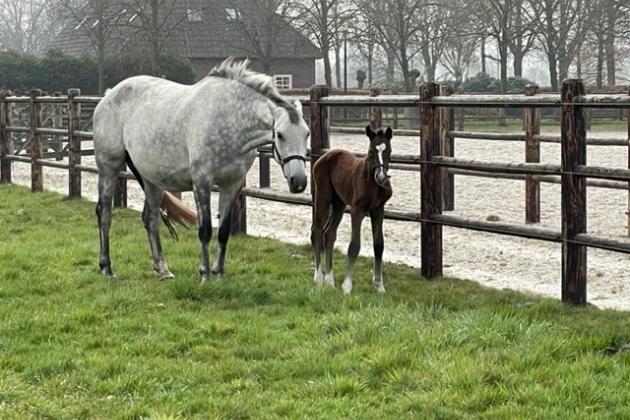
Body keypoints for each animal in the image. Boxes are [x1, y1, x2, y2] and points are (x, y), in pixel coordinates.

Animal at [94, 58, 312, 282]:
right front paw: (205, 274)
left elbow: (223, 230)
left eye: (307, 134)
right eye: (280, 135)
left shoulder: (232, 185)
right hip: (109, 167)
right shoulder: (202, 181)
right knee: (104, 212)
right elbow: (205, 229)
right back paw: (106, 268)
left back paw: (163, 270)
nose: (299, 181)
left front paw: (219, 273)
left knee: (150, 218)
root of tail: (108, 95)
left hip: (151, 179)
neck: (228, 117)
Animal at [312, 126, 396, 294]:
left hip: (339, 204)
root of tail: (323, 157)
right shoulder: (357, 211)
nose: (381, 177)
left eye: (389, 151)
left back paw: (329, 280)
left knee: (329, 233)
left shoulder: (378, 211)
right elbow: (354, 246)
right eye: (371, 151)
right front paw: (347, 286)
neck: (372, 183)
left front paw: (379, 286)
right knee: (317, 231)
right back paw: (318, 278)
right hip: (323, 199)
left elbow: (379, 245)